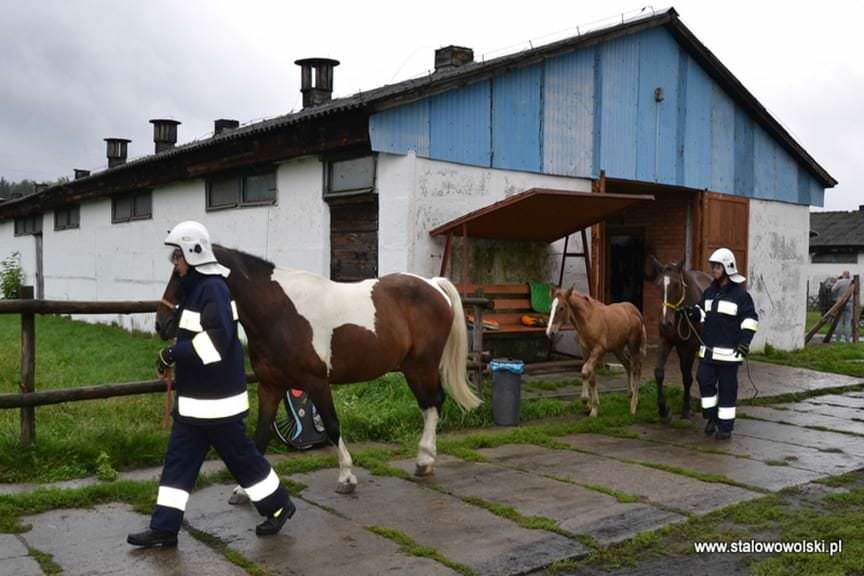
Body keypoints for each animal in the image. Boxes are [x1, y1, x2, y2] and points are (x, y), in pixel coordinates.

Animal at [155, 244, 480, 496]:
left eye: (182, 274)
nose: (162, 324)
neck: (279, 312)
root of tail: (433, 284)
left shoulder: (317, 383)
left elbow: (332, 425)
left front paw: (347, 477)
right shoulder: (270, 386)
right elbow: (261, 434)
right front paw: (244, 491)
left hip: (421, 366)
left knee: (432, 404)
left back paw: (425, 461)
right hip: (413, 368)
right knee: (429, 405)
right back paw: (425, 461)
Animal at [644, 256, 712, 418]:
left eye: (676, 285)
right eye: (658, 285)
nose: (665, 323)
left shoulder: (691, 346)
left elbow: (688, 378)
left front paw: (686, 409)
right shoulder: (666, 340)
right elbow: (659, 372)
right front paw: (663, 410)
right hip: (681, 347)